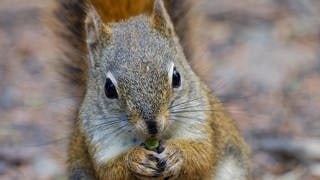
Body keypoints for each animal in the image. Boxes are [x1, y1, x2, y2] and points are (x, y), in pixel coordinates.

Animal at [52, 0, 250, 179]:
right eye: (109, 89)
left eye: (176, 77)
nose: (152, 126)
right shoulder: (98, 139)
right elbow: (110, 171)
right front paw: (135, 160)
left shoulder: (200, 121)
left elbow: (203, 156)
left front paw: (175, 154)